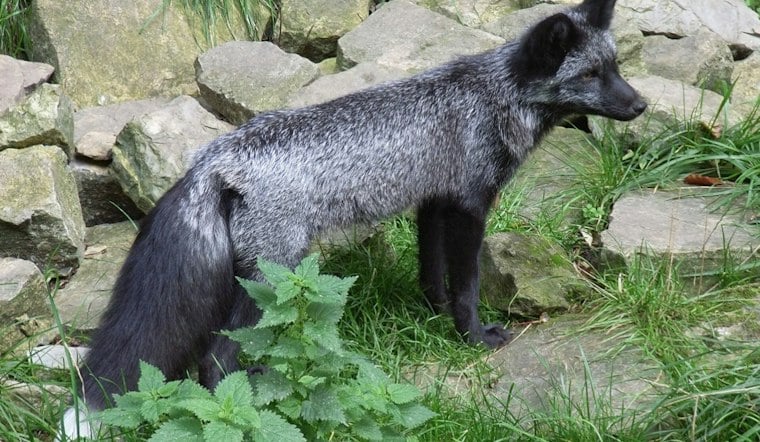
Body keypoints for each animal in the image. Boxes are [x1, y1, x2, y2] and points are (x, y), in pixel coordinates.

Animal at [60, 0, 646, 438]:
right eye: (590, 74)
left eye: (616, 67)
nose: (640, 106)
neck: (490, 97)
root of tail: (212, 159)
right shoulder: (468, 205)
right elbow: (467, 286)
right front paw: (474, 337)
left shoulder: (433, 203)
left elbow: (433, 277)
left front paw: (432, 319)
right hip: (270, 277)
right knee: (217, 362)